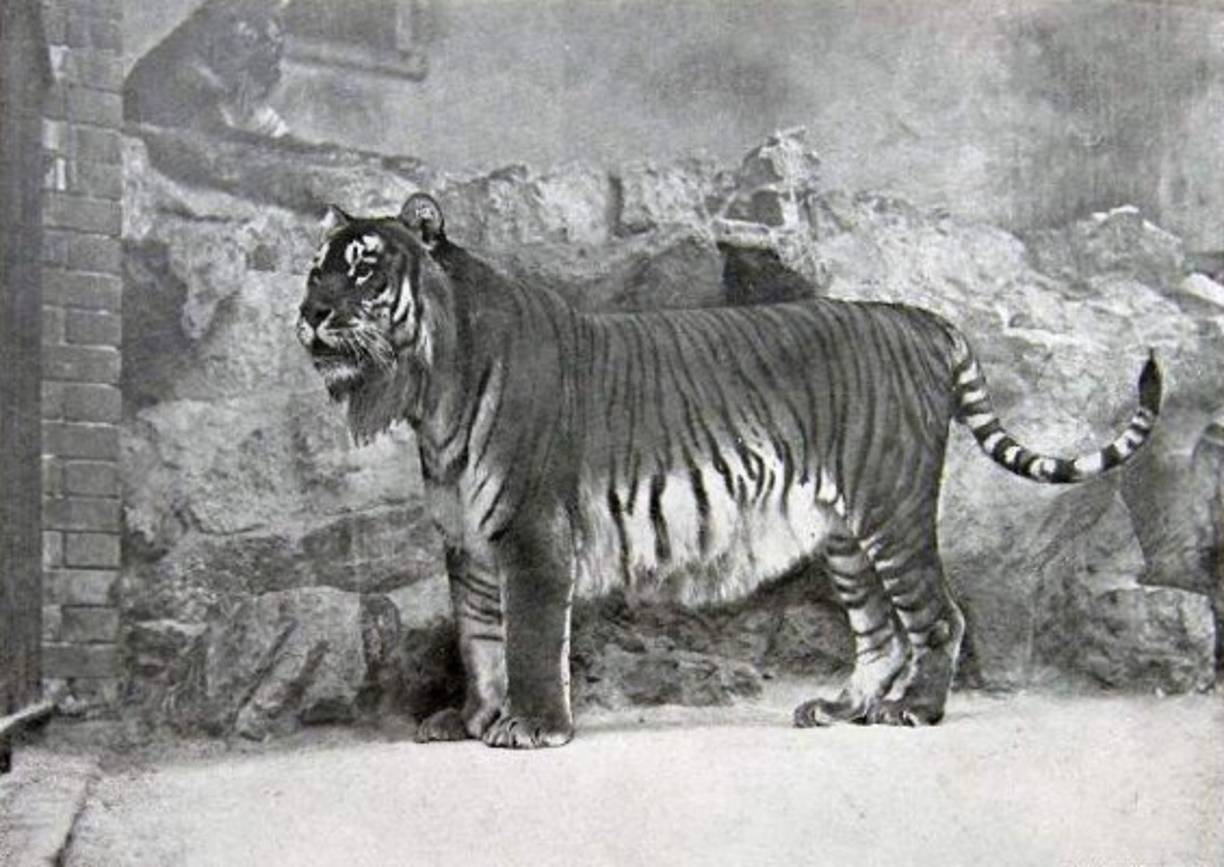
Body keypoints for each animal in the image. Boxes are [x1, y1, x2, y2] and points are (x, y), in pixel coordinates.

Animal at [296, 192, 1162, 749]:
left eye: (365, 268)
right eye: (315, 269)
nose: (309, 313)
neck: (430, 390)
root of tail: (920, 318)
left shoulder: (531, 534)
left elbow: (530, 638)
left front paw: (533, 727)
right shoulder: (467, 541)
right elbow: (478, 638)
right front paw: (472, 719)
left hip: (892, 509)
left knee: (938, 616)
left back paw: (913, 710)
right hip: (845, 535)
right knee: (879, 630)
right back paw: (840, 708)